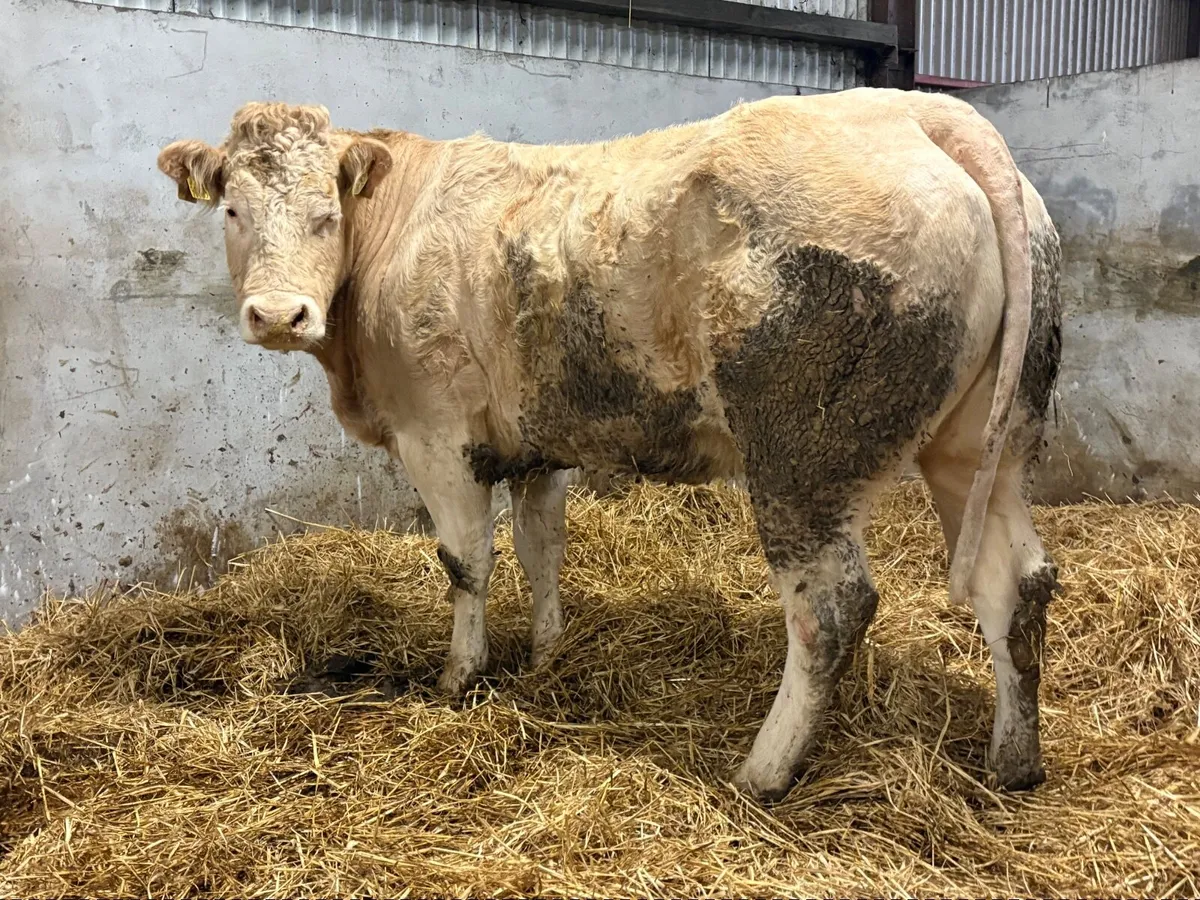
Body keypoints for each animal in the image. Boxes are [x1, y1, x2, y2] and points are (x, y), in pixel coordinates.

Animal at [158, 87, 1062, 801]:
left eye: (327, 215)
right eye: (233, 210)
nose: (279, 315)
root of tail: (922, 112)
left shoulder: (435, 433)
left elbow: (466, 561)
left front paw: (460, 677)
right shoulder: (535, 442)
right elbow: (541, 548)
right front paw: (547, 653)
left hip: (805, 458)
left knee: (832, 608)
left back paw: (762, 772)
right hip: (986, 443)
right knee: (1016, 582)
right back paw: (1012, 761)